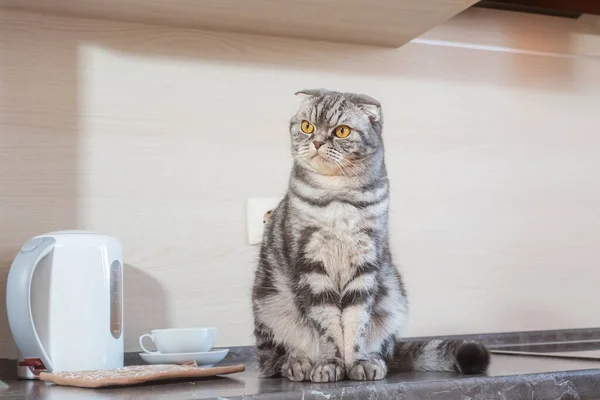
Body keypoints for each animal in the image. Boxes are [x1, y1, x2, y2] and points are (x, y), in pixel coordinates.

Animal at [251, 89, 490, 382]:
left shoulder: (365, 263)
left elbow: (357, 323)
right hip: (269, 303)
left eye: (341, 131)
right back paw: (298, 364)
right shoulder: (311, 265)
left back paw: (375, 360)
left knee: (384, 350)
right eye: (307, 126)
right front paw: (329, 364)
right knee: (271, 361)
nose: (317, 141)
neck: (338, 196)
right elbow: (327, 325)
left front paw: (358, 362)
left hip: (394, 298)